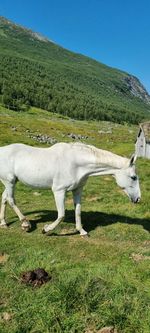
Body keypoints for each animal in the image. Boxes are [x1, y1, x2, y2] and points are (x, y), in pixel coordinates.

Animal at [0, 141, 141, 235]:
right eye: (134, 177)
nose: (138, 199)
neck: (75, 163)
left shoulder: (77, 190)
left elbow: (77, 211)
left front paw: (82, 231)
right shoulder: (59, 191)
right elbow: (61, 214)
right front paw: (46, 229)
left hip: (11, 181)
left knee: (4, 198)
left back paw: (4, 223)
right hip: (10, 181)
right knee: (11, 199)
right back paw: (25, 224)